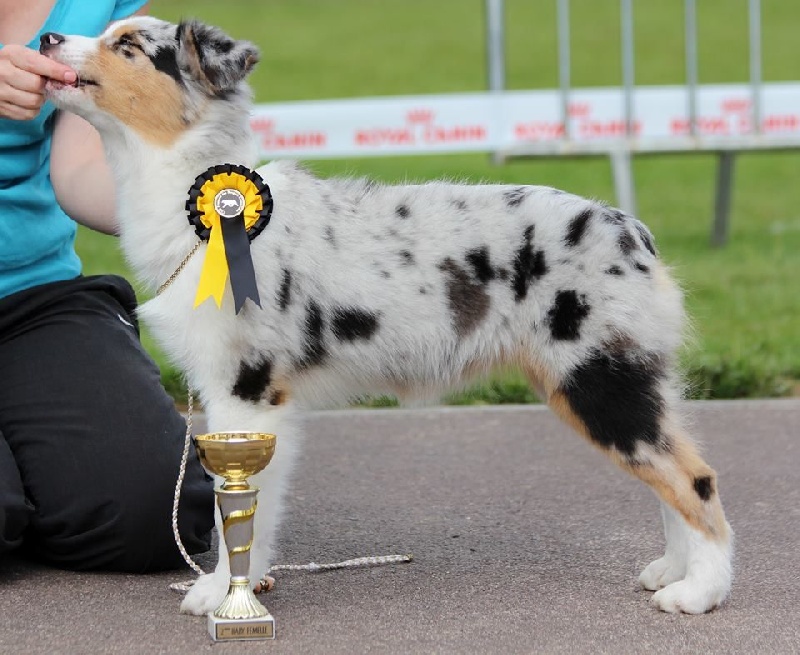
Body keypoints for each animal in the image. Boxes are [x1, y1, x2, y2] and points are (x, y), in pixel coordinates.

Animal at [42, 16, 733, 616]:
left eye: (128, 45)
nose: (46, 37)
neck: (201, 202)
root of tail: (632, 230)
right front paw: (243, 585)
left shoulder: (248, 388)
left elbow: (235, 507)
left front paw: (220, 593)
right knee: (669, 472)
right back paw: (673, 571)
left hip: (598, 377)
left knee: (696, 479)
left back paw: (699, 593)